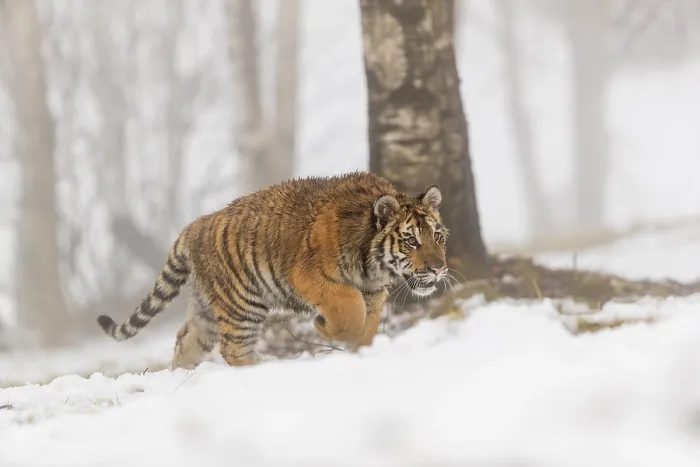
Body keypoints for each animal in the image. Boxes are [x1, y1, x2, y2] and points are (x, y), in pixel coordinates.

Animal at [97, 171, 449, 369]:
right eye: (411, 241)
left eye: (437, 236)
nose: (438, 268)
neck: (374, 267)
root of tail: (195, 226)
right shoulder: (312, 277)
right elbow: (350, 309)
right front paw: (325, 328)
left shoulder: (374, 292)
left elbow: (368, 323)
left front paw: (360, 350)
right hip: (241, 304)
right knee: (233, 348)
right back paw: (260, 368)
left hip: (207, 309)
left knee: (187, 339)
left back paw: (182, 376)